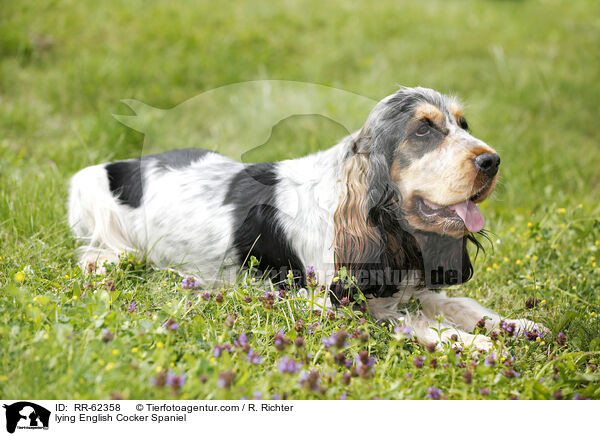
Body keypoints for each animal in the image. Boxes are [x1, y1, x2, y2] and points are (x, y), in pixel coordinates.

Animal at [69, 86, 544, 350]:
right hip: (87, 190)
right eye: (423, 130)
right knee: (102, 252)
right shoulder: (335, 306)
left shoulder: (411, 287)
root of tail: (124, 165)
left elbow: (459, 305)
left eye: (463, 124)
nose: (492, 161)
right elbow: (417, 323)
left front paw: (518, 326)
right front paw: (479, 345)